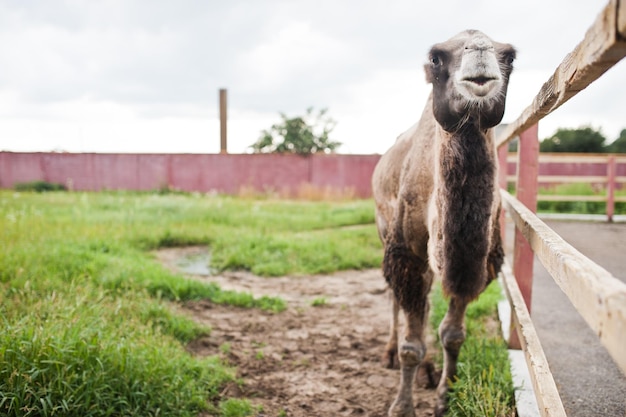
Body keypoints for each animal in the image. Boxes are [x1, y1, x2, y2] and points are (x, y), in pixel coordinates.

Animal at [370, 30, 512, 416]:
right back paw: (389, 353)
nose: (480, 51)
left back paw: (429, 371)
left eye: (509, 56)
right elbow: (411, 345)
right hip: (384, 228)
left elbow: (452, 333)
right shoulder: (405, 253)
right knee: (396, 300)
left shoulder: (475, 266)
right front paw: (402, 407)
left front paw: (445, 396)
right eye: (436, 57)